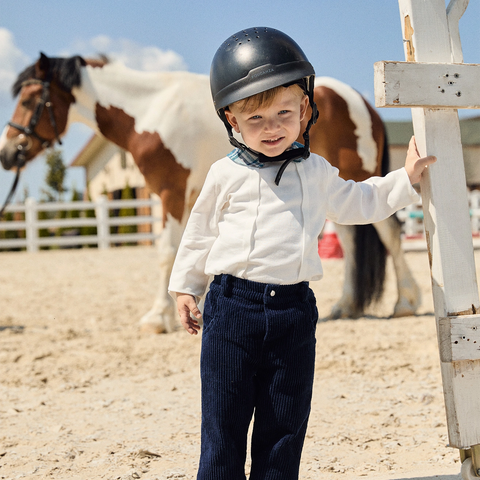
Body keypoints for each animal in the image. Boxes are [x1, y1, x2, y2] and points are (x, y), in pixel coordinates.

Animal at [0, 52, 420, 330]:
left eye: (30, 100)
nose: (8, 153)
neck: (149, 111)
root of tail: (363, 102)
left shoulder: (170, 193)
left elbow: (166, 252)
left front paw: (158, 317)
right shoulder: (184, 198)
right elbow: (188, 252)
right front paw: (183, 309)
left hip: (356, 176)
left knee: (389, 233)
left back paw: (406, 302)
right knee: (350, 238)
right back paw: (346, 306)